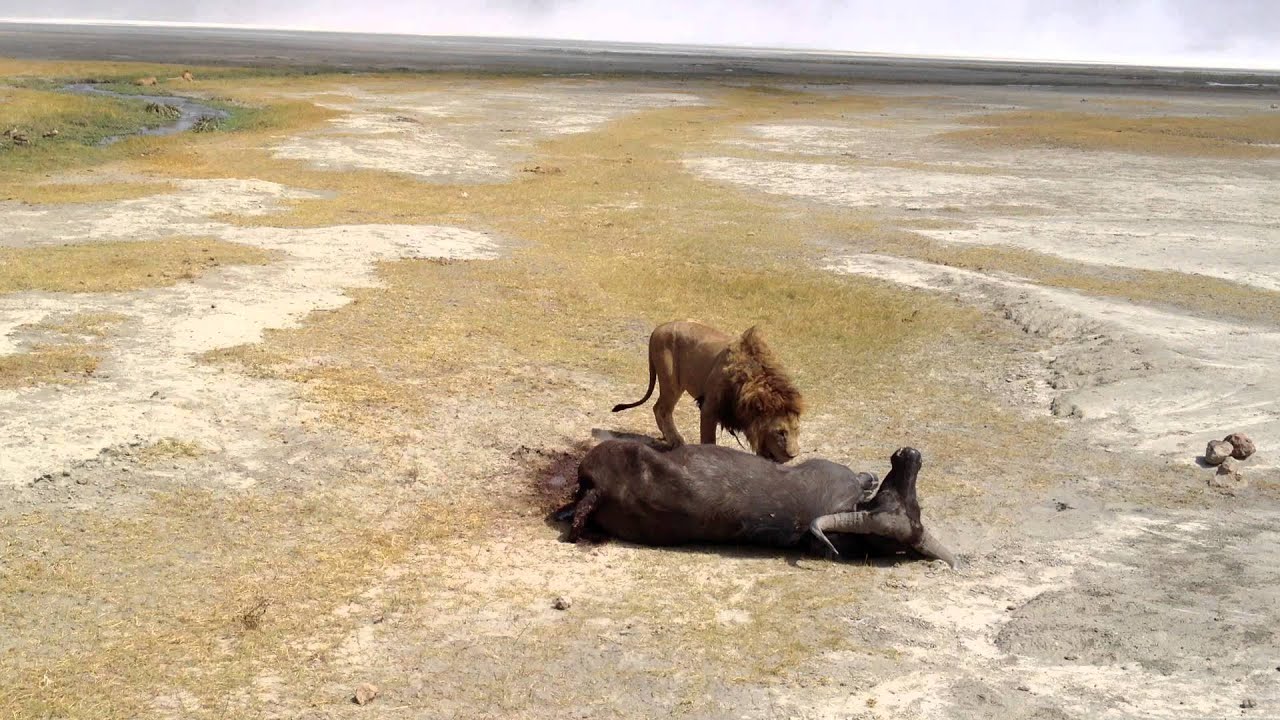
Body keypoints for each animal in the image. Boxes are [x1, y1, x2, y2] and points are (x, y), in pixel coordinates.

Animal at [611, 320, 804, 463]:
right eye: (780, 432)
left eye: (796, 430)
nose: (793, 455)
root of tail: (658, 328)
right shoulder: (709, 408)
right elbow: (709, 439)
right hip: (671, 381)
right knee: (661, 408)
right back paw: (675, 440)